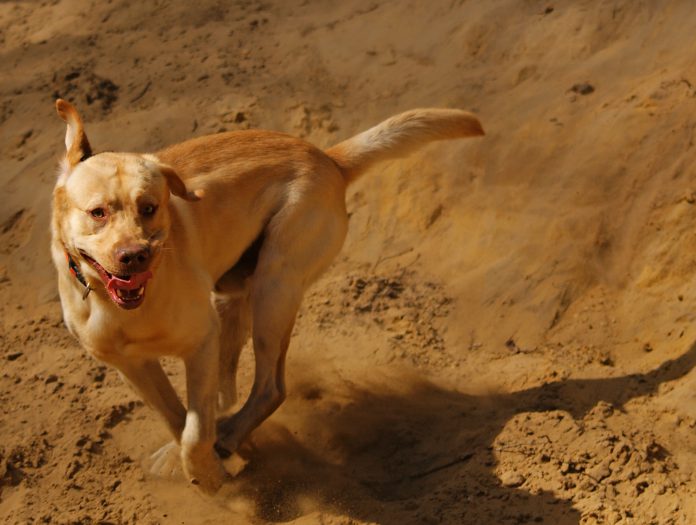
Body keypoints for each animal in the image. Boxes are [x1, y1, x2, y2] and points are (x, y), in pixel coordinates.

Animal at [51, 97, 484, 492]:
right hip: (234, 295)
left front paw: (209, 477)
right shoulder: (132, 365)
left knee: (269, 389)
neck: (126, 306)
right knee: (226, 390)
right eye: (98, 212)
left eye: (150, 207)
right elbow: (177, 418)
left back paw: (228, 438)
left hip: (275, 290)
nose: (136, 255)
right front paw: (192, 463)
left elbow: (194, 433)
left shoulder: (200, 343)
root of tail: (328, 158)